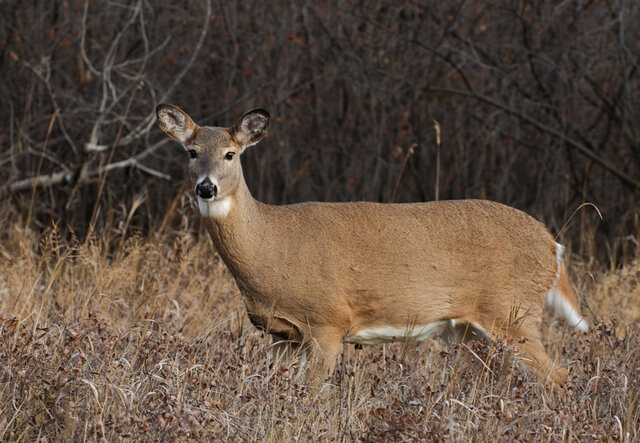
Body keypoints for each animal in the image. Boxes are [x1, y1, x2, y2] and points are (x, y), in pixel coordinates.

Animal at [156, 104, 589, 386]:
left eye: (230, 154)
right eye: (191, 152)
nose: (206, 187)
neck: (270, 246)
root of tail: (553, 245)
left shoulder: (328, 322)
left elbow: (312, 395)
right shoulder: (282, 334)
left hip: (513, 311)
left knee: (558, 377)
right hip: (473, 330)